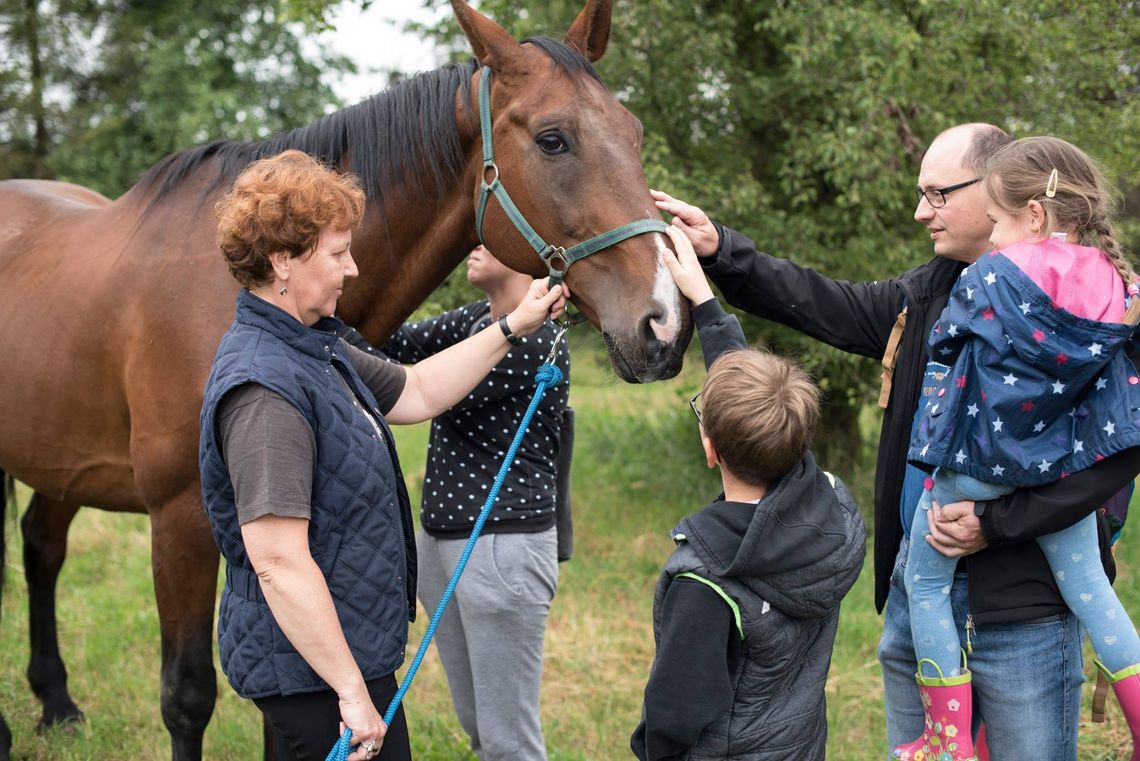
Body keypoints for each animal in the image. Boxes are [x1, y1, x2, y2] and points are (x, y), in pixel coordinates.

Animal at [0, 2, 688, 756]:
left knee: (41, 547)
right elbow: (187, 697)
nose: (664, 322)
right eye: (553, 139)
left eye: (634, 133)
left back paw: (56, 703)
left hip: (61, 459)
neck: (233, 290)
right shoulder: (179, 519)